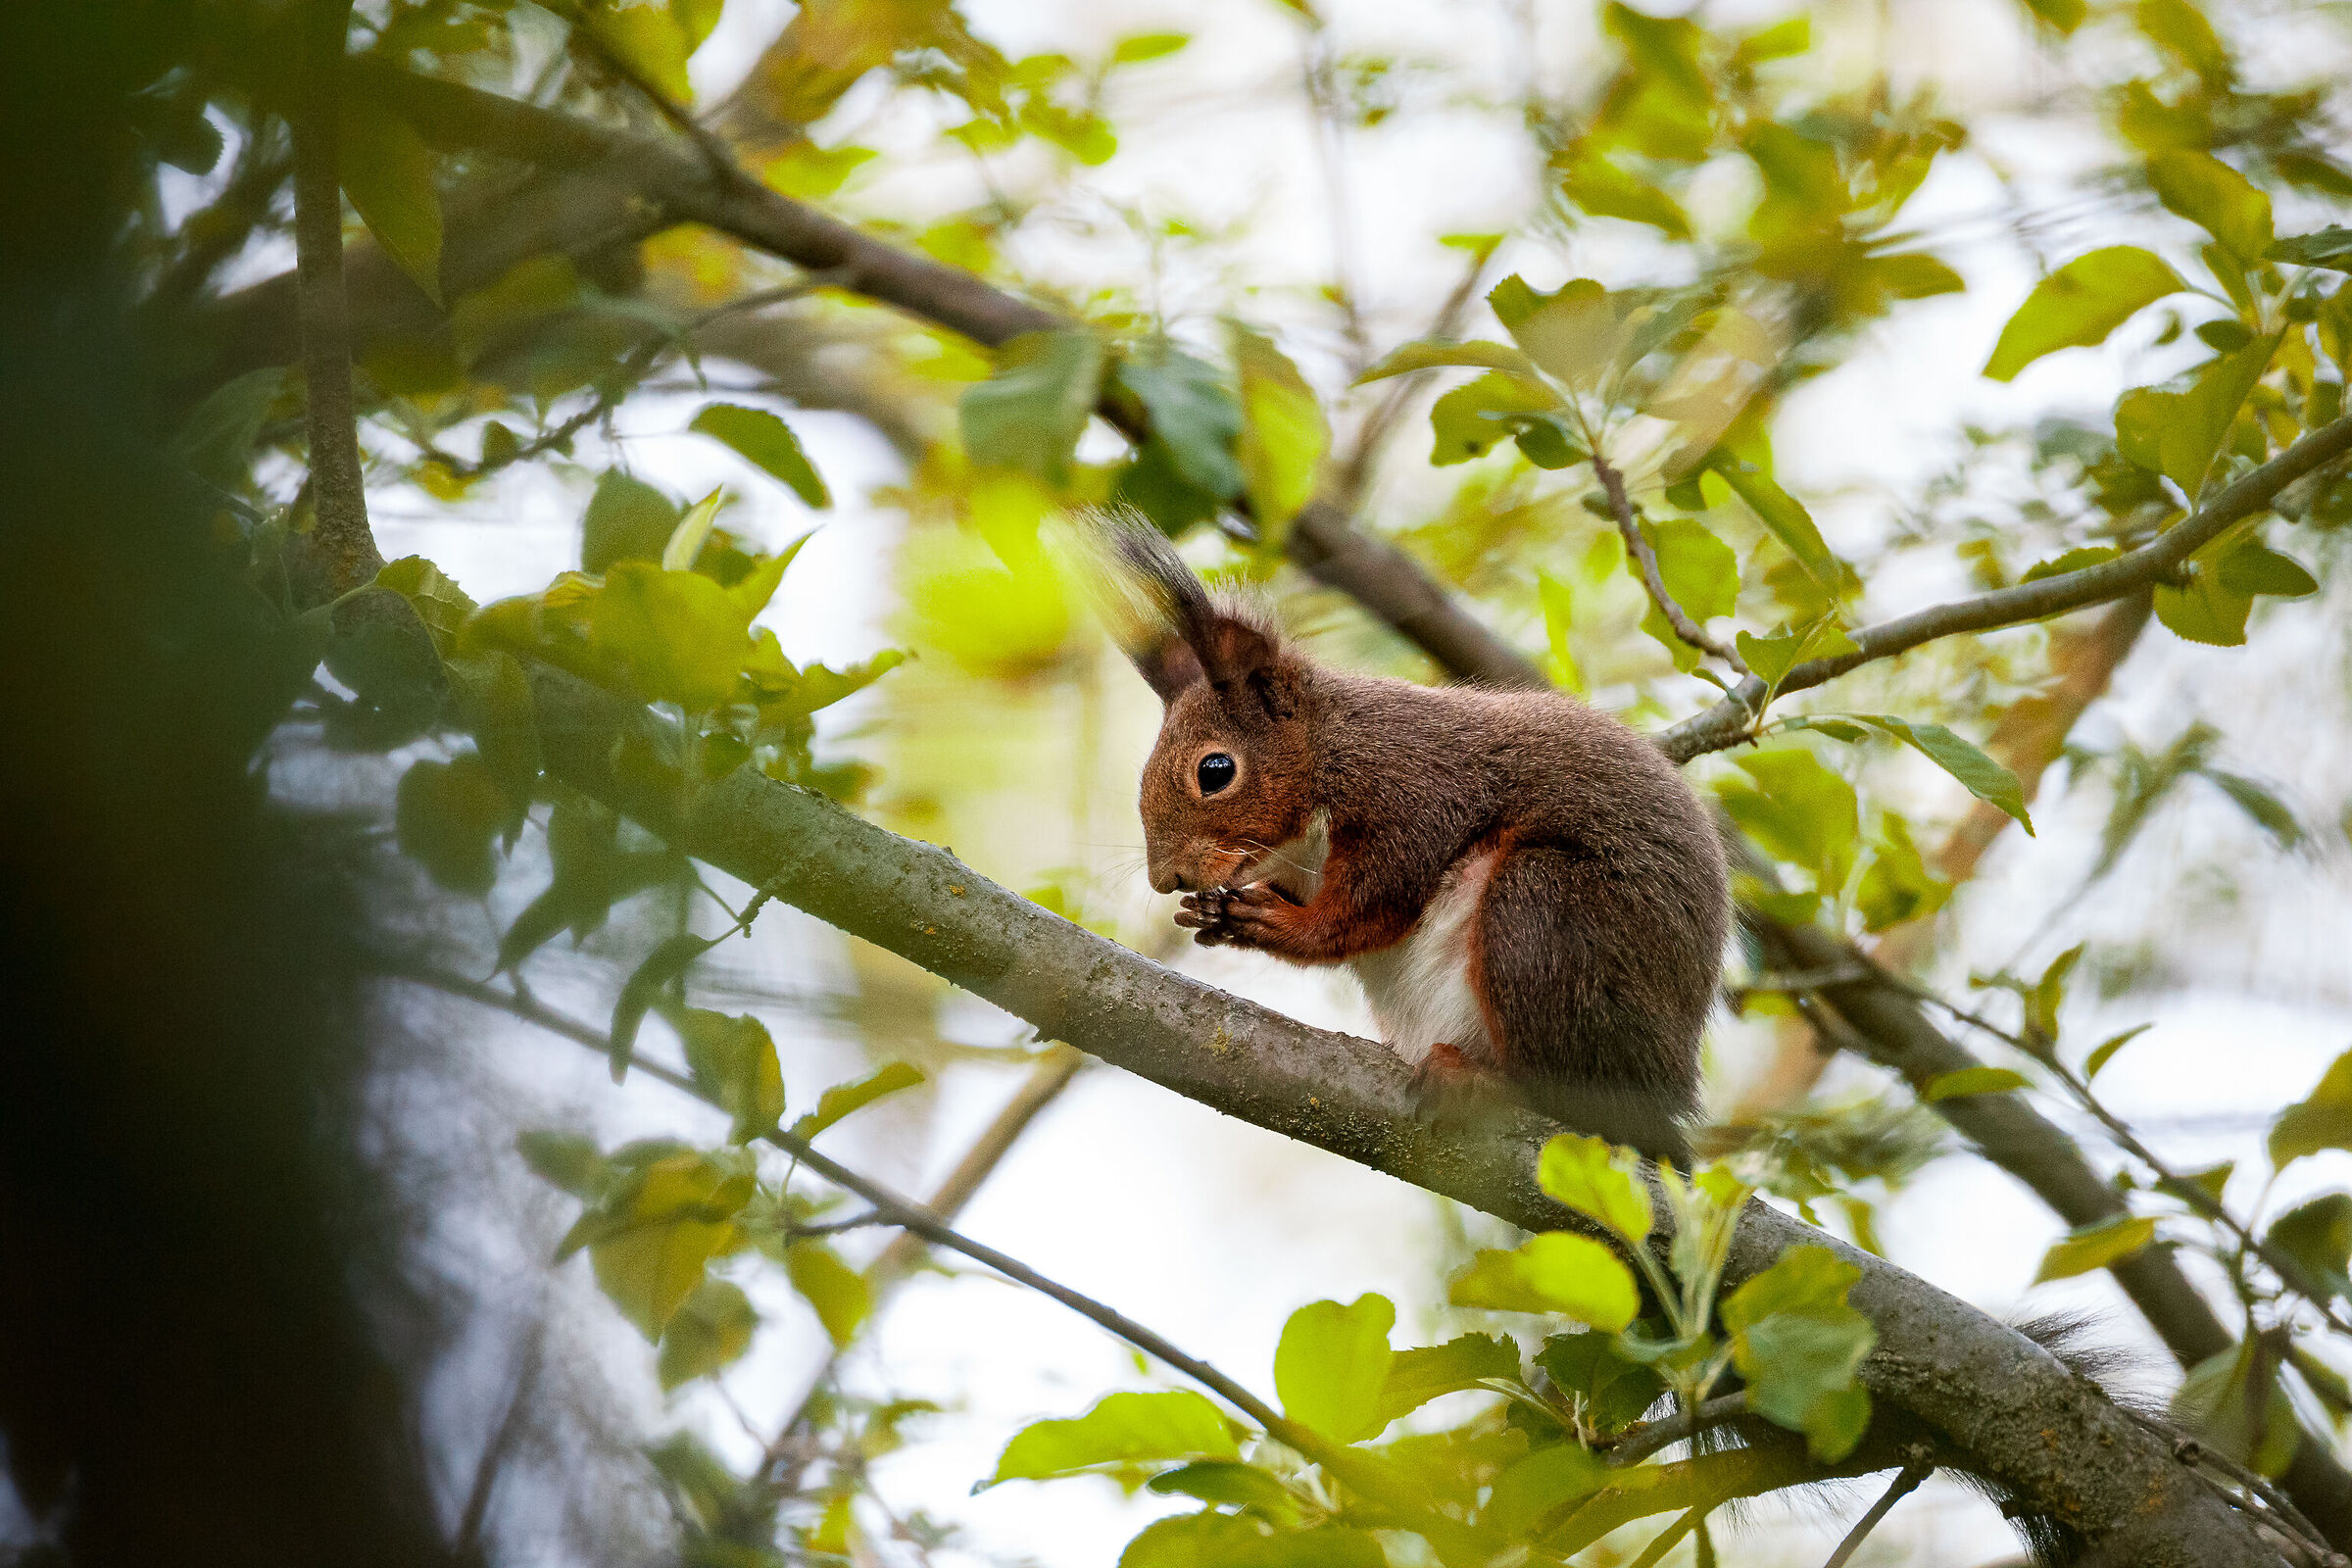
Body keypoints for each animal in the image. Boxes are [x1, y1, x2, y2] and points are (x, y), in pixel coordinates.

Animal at [1102, 513, 1730, 1162]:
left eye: (1216, 771)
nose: (1165, 878)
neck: (1327, 750)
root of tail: (1665, 1095)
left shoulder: (1415, 796)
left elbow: (1370, 908)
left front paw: (1274, 924)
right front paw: (1211, 911)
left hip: (1545, 918)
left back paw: (1483, 1079)